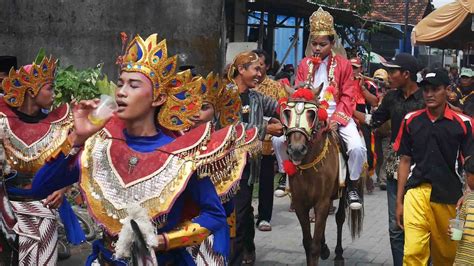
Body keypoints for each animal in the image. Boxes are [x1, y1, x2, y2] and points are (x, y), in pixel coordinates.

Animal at [280, 89, 364, 266]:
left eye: (312, 114)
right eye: (287, 113)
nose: (296, 150)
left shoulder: (322, 202)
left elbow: (314, 245)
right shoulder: (300, 203)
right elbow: (308, 242)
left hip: (342, 192)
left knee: (339, 218)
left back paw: (338, 255)